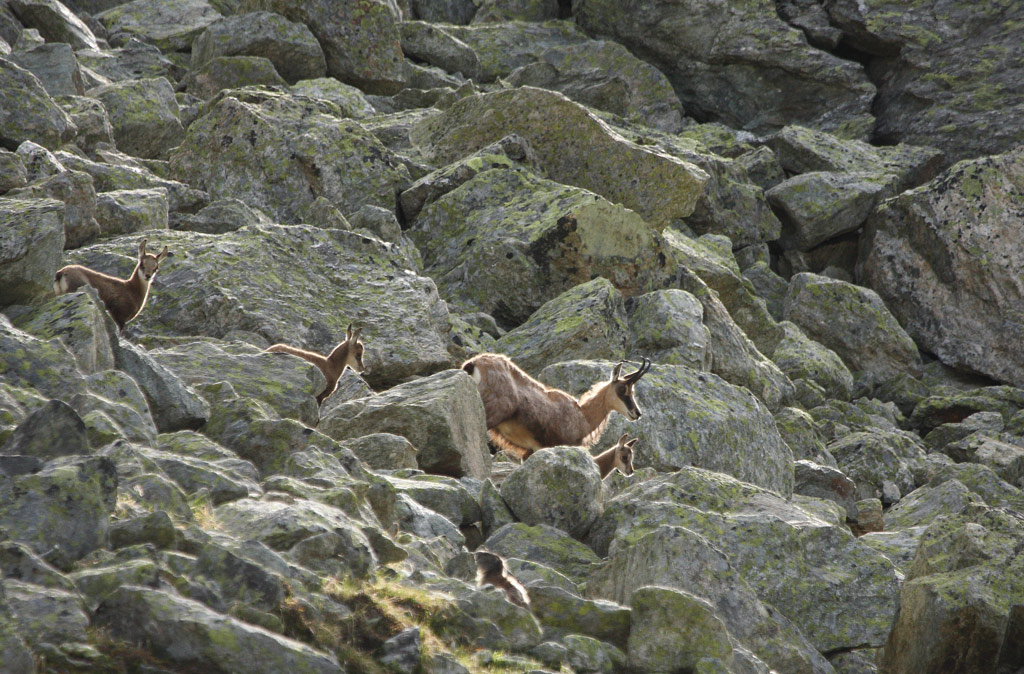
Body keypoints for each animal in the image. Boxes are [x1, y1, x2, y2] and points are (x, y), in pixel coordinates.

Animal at [461, 353, 650, 460]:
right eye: (622, 389)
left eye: (633, 390)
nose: (637, 413)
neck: (582, 416)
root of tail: (474, 364)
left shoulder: (531, 450)